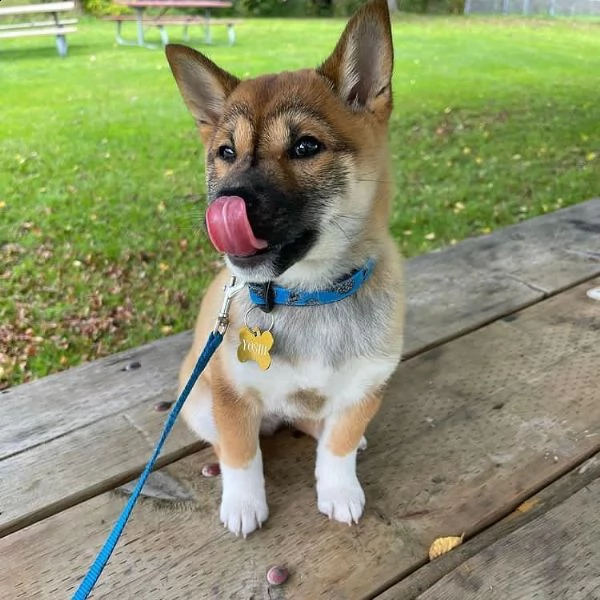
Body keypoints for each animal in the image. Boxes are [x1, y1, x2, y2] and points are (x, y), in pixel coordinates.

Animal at [166, 0, 406, 540]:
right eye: (226, 153)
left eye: (305, 147)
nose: (224, 204)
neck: (308, 294)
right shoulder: (230, 393)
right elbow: (241, 453)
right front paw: (243, 502)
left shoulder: (366, 387)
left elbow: (338, 445)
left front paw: (339, 490)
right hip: (196, 398)